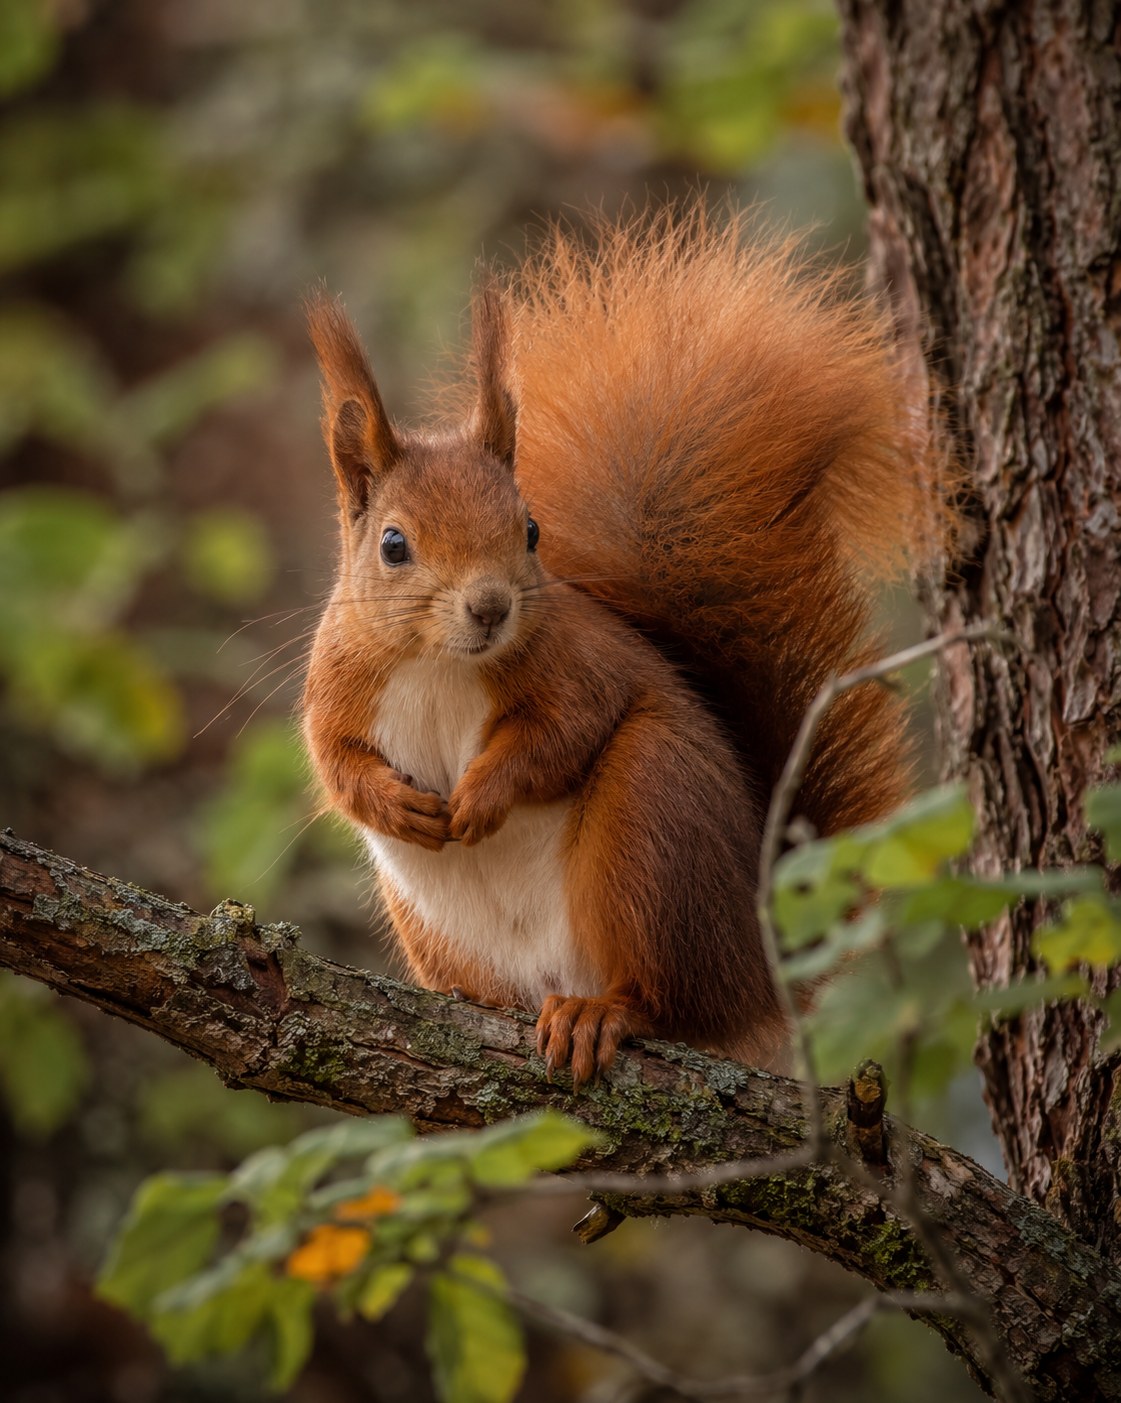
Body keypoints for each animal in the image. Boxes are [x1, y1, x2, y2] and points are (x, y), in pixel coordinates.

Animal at [302, 205, 941, 1088]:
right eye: (393, 545)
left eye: (530, 529)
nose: (491, 607)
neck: (440, 665)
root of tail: (761, 969)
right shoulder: (336, 685)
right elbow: (336, 766)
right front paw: (398, 804)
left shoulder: (580, 667)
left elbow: (560, 734)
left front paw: (480, 794)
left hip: (650, 829)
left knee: (669, 1000)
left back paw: (601, 1012)